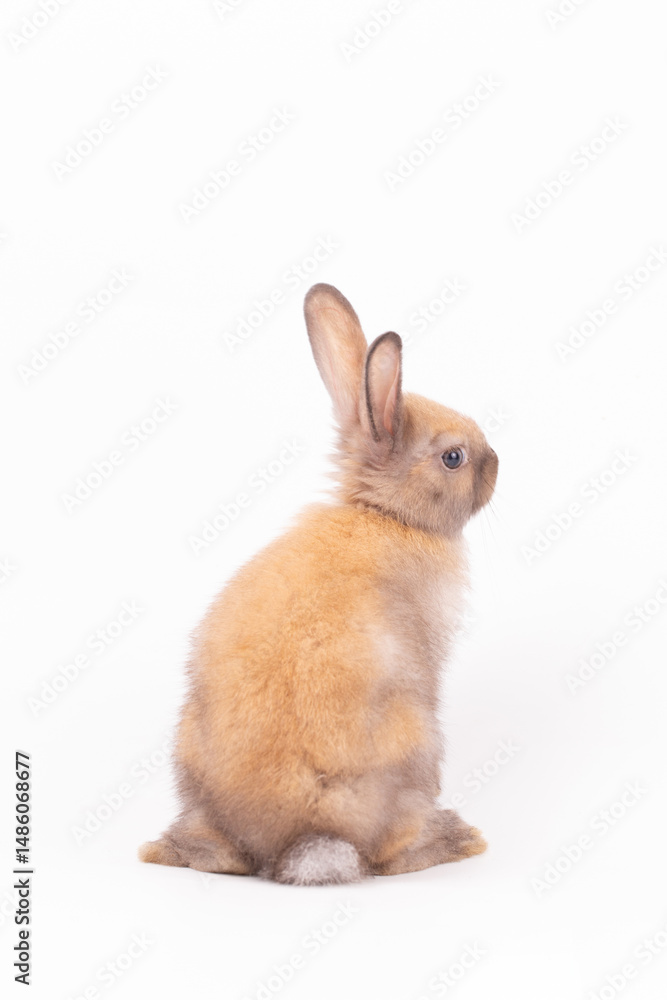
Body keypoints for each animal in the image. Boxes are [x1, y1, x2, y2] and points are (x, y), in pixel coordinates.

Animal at [139, 282, 498, 885]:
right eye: (454, 457)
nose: (497, 463)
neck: (385, 516)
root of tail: (299, 840)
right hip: (417, 742)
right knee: (389, 853)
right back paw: (455, 838)